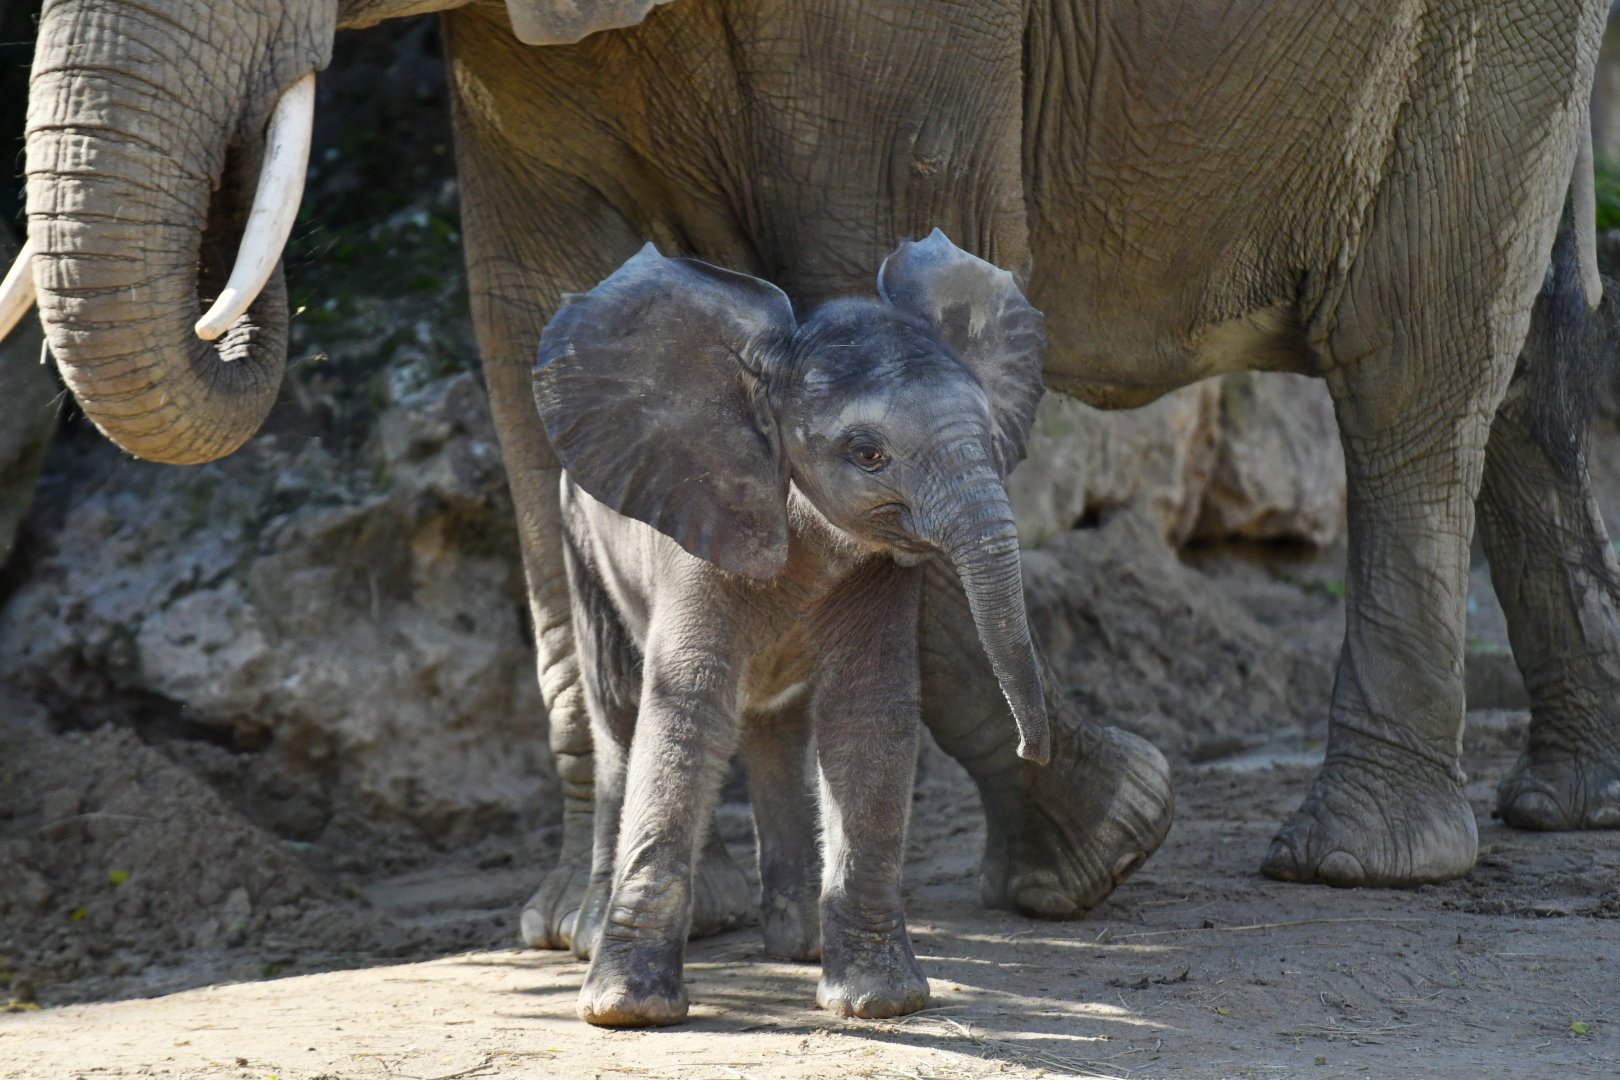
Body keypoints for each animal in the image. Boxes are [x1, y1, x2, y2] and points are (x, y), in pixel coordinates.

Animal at [1, 0, 1615, 939]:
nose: (236, 303)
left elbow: (874, 248)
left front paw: (1099, 854)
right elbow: (529, 331)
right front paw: (587, 929)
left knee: (1413, 359)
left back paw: (1362, 862)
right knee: (1523, 362)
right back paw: (1564, 809)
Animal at [535, 233, 1049, 1026]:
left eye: (992, 432)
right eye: (868, 453)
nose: (1031, 748)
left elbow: (867, 717)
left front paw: (877, 1001)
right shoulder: (701, 521)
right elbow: (686, 713)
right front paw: (629, 1012)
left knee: (776, 728)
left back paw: (800, 944)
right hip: (579, 531)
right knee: (618, 713)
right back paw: (592, 940)